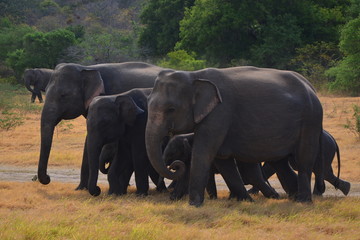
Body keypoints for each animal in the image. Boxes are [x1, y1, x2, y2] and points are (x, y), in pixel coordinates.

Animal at [145, 66, 322, 206]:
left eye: (171, 109)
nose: (175, 166)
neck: (194, 75)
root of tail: (310, 86)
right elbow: (223, 161)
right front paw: (246, 201)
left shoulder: (220, 112)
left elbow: (203, 152)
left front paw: (194, 205)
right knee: (281, 164)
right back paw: (292, 197)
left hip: (311, 120)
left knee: (304, 161)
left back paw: (303, 201)